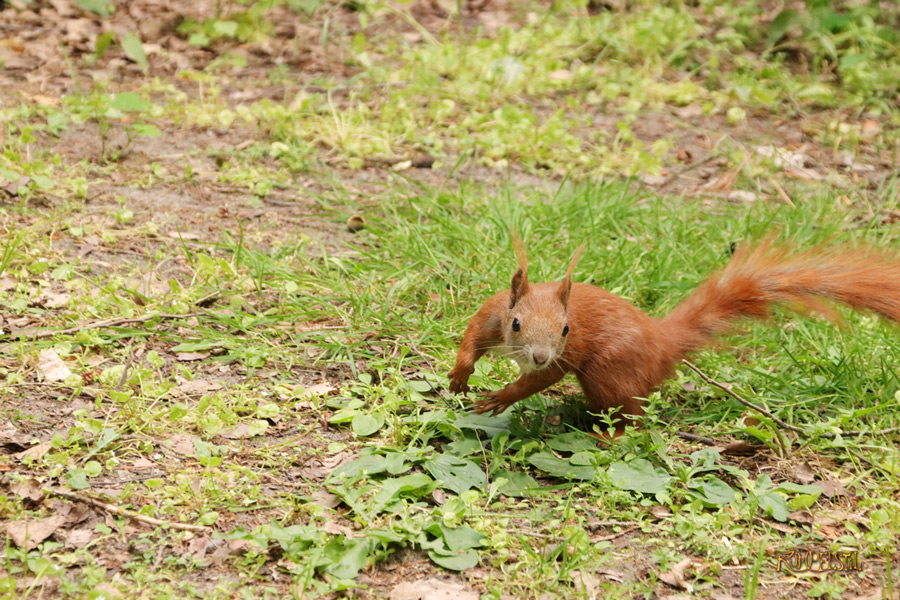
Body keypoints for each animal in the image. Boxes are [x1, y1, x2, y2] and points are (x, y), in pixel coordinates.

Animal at [448, 234, 900, 433]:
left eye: (565, 329)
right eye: (517, 323)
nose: (539, 356)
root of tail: (664, 343)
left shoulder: (565, 355)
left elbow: (541, 380)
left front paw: (502, 397)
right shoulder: (492, 313)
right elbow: (471, 336)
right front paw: (460, 374)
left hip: (610, 373)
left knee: (633, 416)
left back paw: (609, 436)